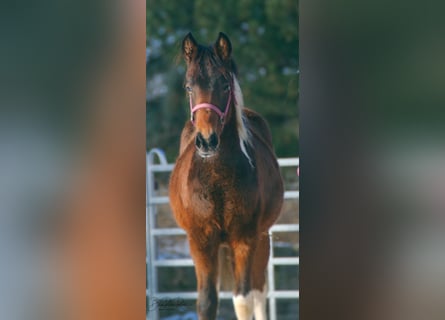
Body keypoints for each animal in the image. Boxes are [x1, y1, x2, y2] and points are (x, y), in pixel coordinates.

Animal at [168, 31, 282, 320]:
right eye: (188, 87)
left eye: (225, 85)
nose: (207, 141)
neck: (217, 181)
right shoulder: (200, 240)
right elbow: (207, 302)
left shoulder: (245, 239)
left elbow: (243, 300)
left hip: (261, 238)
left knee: (258, 292)